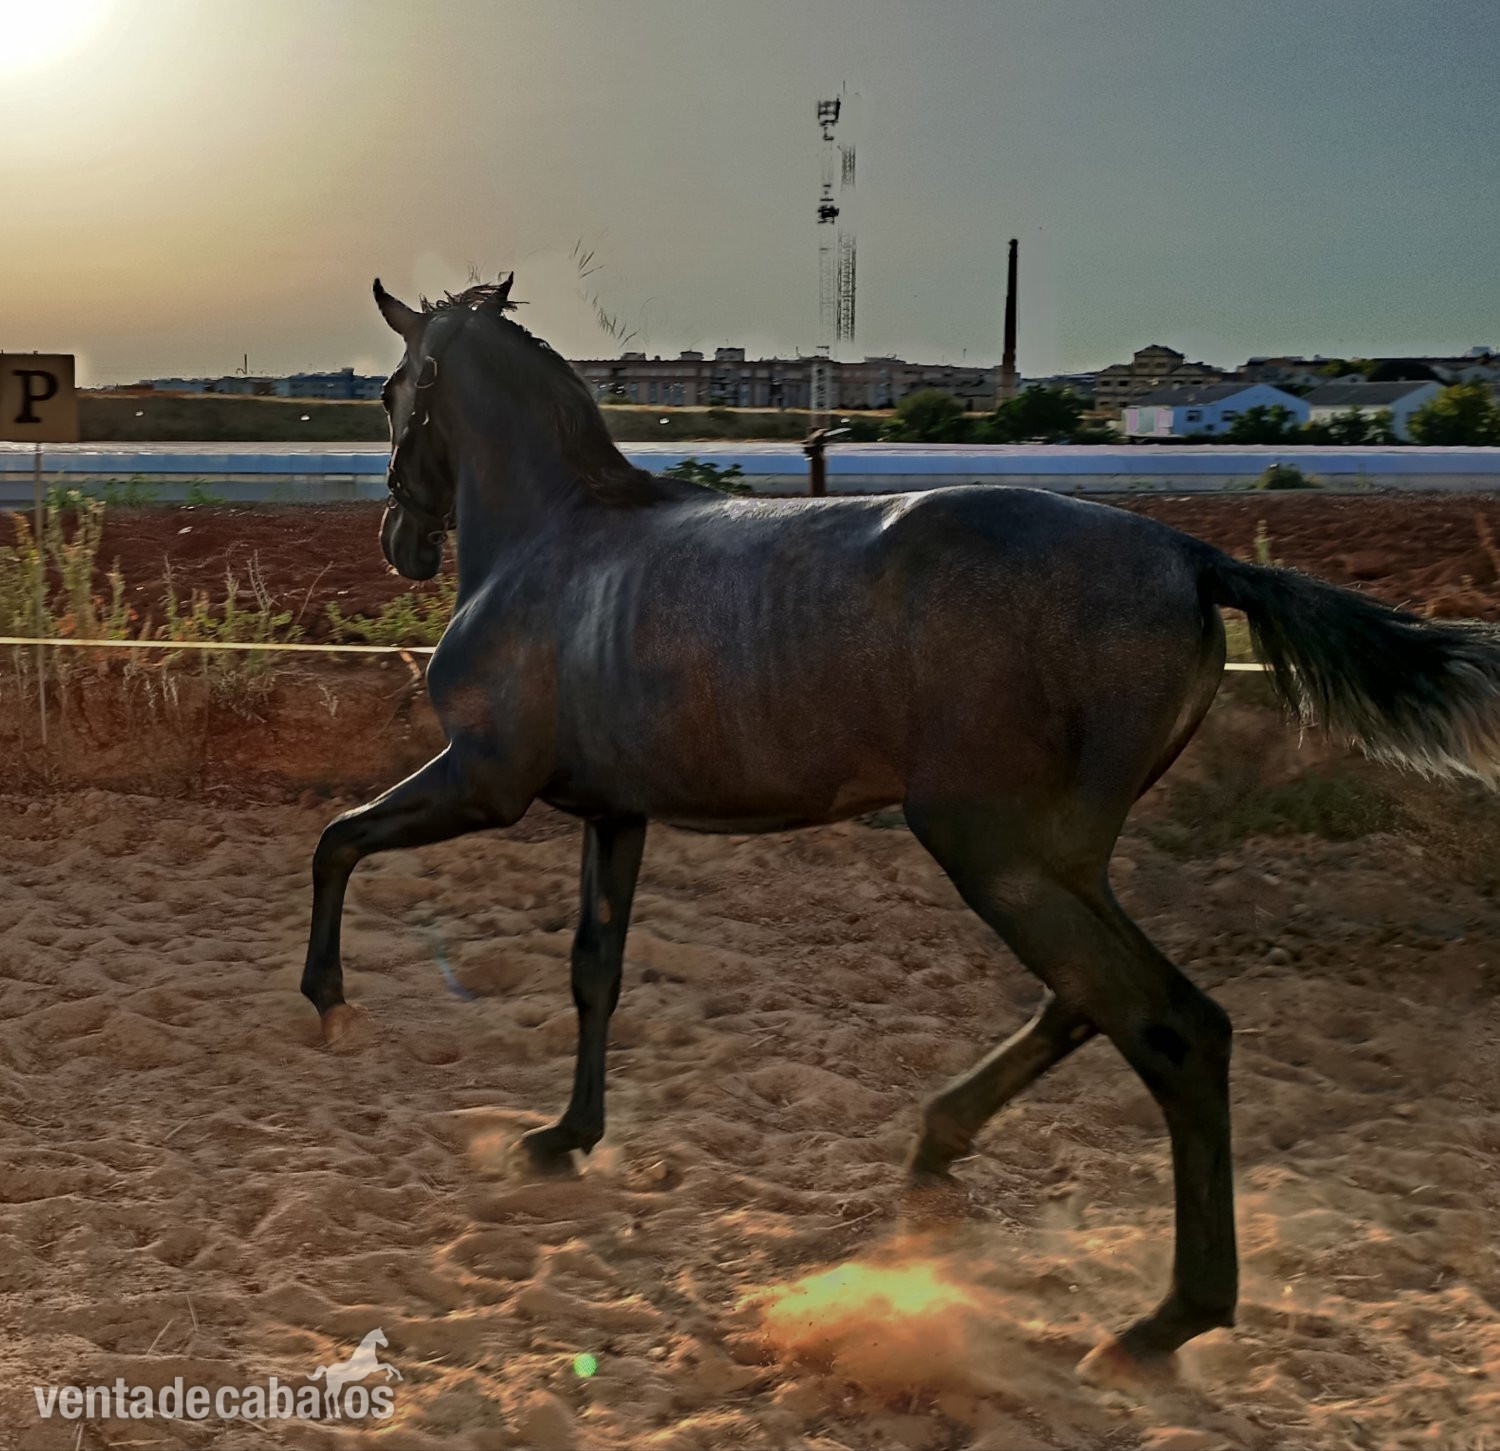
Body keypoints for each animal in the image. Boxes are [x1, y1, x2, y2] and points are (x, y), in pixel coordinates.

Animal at [301, 272, 1500, 1385]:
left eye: (395, 390)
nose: (401, 542)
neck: (551, 545)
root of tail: (1192, 557)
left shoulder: (484, 781)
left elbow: (338, 840)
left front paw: (331, 1006)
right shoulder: (615, 812)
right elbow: (595, 969)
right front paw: (561, 1139)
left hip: (993, 847)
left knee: (1171, 1025)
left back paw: (1158, 1324)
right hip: (1057, 854)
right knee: (1087, 999)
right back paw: (936, 1163)